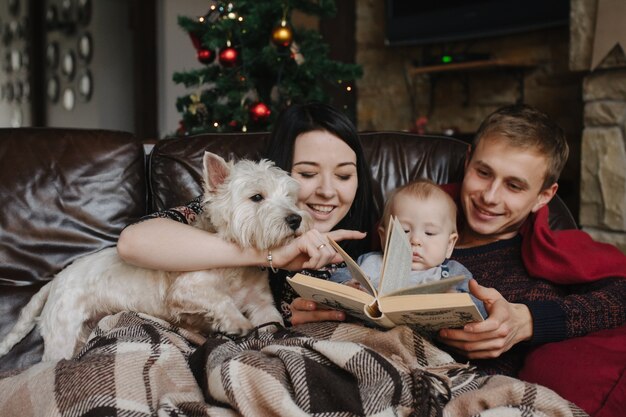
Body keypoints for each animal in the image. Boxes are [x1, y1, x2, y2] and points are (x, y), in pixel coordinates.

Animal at [0, 152, 310, 360]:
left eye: (290, 197)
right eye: (256, 197)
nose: (296, 219)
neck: (237, 263)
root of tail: (57, 279)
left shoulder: (261, 304)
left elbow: (271, 320)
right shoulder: (186, 289)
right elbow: (219, 298)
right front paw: (236, 323)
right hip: (63, 331)